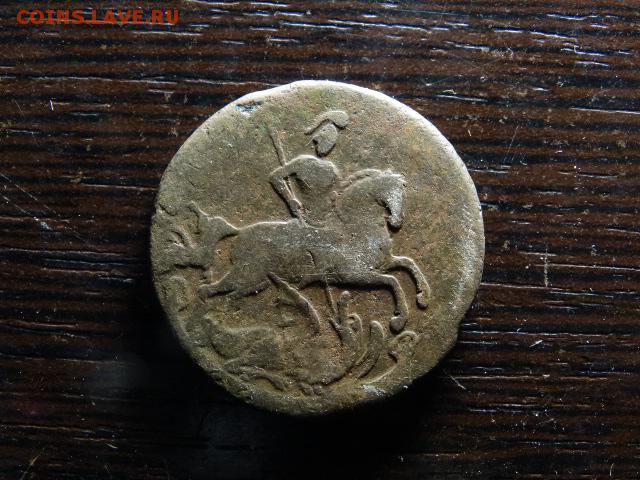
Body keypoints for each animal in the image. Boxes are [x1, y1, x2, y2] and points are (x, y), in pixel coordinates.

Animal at [197, 169, 429, 333]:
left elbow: (408, 264)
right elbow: (394, 281)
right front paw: (399, 320)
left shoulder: (382, 263)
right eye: (392, 191)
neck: (355, 230)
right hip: (248, 275)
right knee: (219, 294)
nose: (396, 221)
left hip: (257, 281)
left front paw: (423, 297)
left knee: (221, 294)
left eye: (403, 190)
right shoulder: (356, 275)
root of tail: (239, 233)